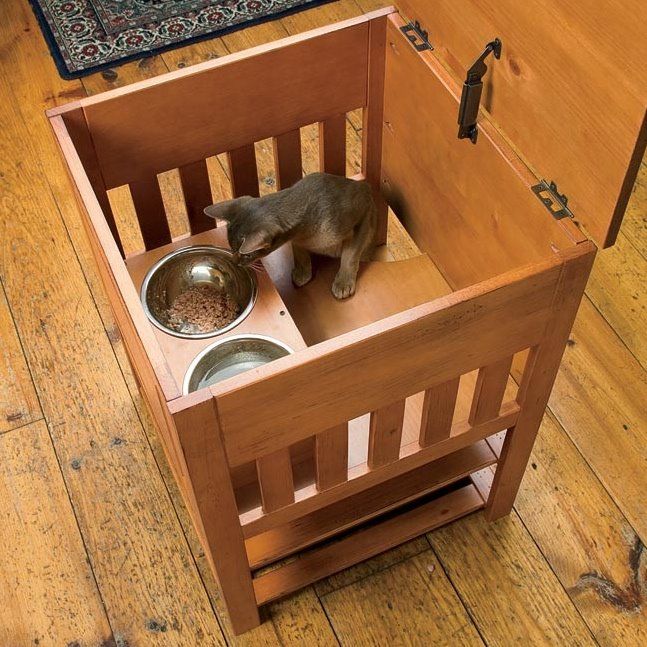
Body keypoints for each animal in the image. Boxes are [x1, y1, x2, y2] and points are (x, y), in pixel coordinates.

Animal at [202, 175, 374, 302]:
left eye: (247, 255)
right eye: (232, 248)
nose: (234, 262)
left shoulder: (364, 208)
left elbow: (350, 256)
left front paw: (343, 282)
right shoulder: (297, 239)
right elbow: (300, 253)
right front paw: (303, 272)